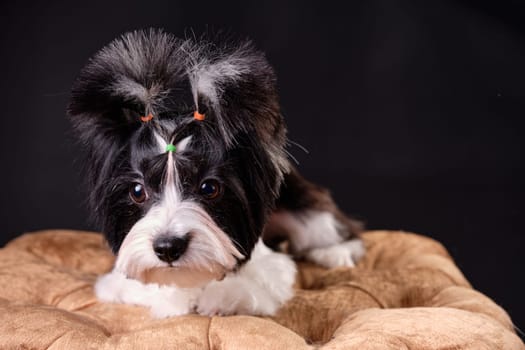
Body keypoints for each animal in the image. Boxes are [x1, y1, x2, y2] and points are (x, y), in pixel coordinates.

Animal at [68, 28, 364, 316]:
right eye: (138, 191)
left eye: (209, 188)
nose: (168, 247)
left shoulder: (272, 269)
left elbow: (253, 286)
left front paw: (220, 296)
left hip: (305, 206)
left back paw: (336, 252)